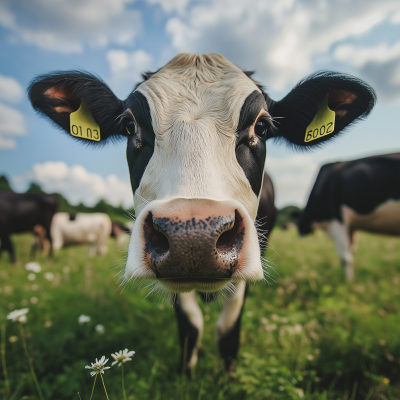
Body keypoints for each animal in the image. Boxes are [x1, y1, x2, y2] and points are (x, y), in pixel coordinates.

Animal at [28, 52, 376, 372]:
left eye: (262, 126)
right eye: (129, 125)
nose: (193, 237)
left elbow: (228, 328)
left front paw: (230, 376)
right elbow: (191, 326)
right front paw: (186, 374)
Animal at [296, 153, 400, 282]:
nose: (299, 235)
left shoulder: (337, 222)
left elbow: (345, 258)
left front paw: (349, 282)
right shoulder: (351, 228)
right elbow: (351, 254)